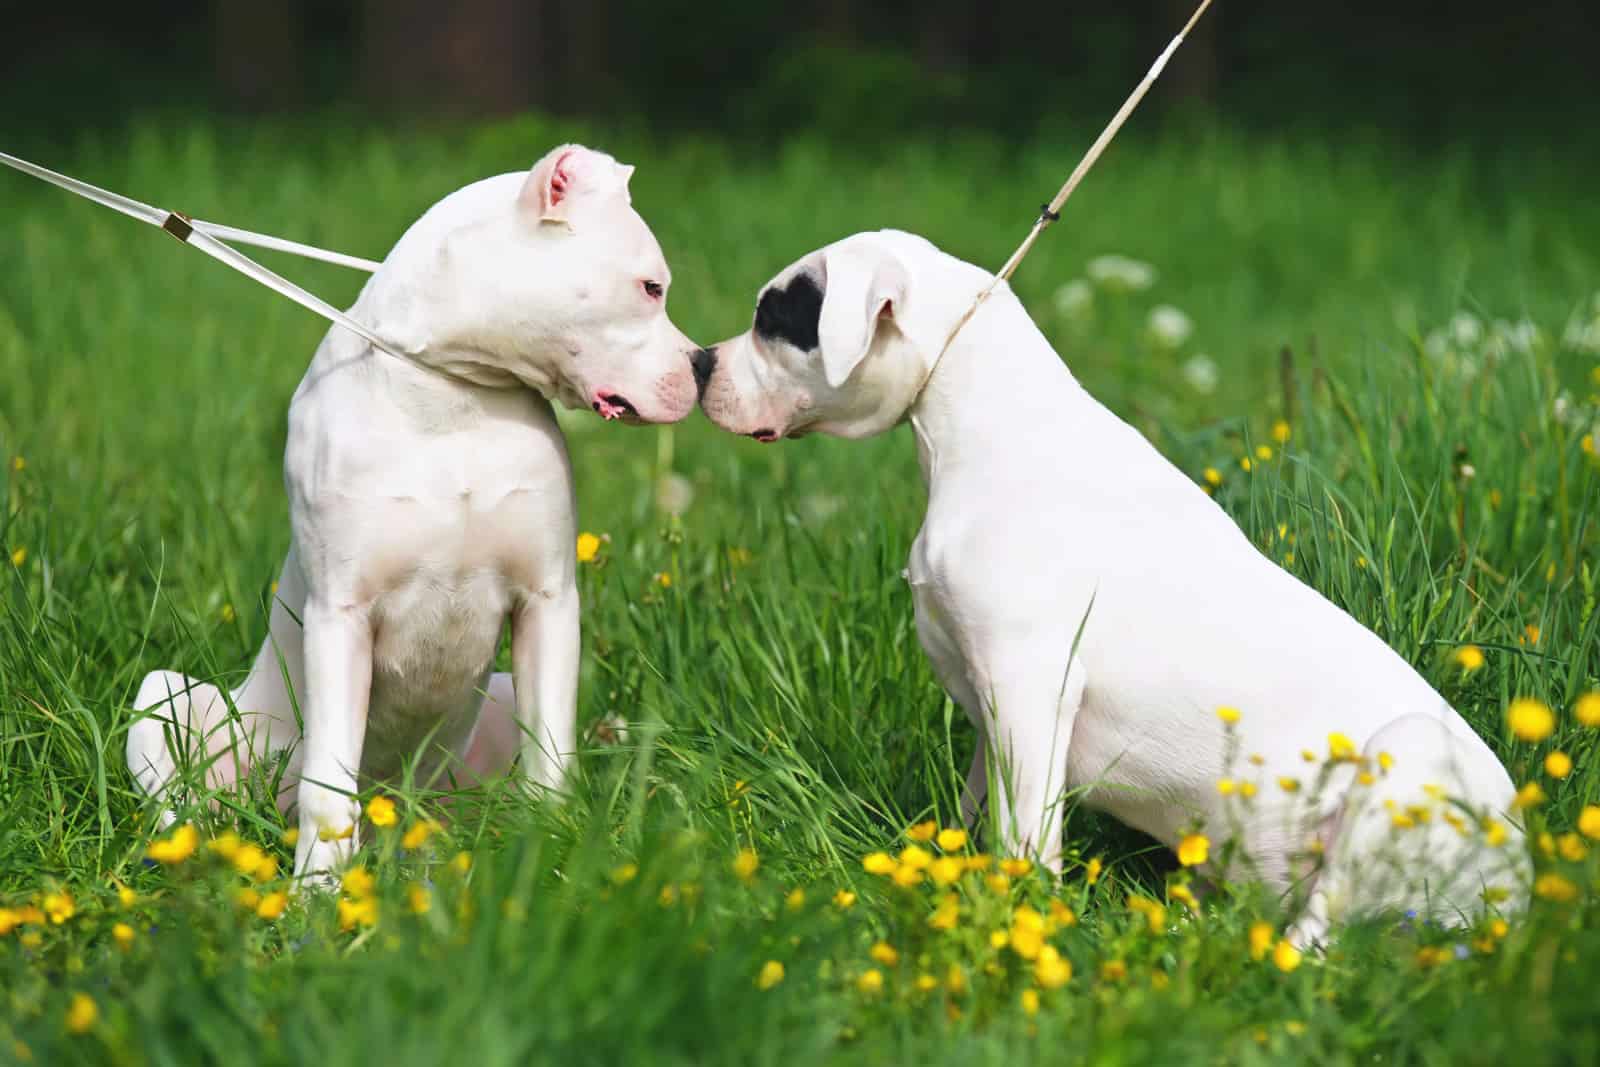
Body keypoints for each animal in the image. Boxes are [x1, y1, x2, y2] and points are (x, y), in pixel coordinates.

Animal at [124, 143, 700, 876]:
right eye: (652, 288)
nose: (704, 366)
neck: (453, 395)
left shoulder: (547, 603)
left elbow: (552, 757)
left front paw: (551, 856)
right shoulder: (340, 617)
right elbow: (329, 785)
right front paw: (316, 893)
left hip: (492, 703)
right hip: (164, 700)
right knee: (189, 801)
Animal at [697, 231, 1523, 940]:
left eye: (773, 320)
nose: (702, 363)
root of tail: (1521, 883)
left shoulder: (1031, 689)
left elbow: (1025, 836)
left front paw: (1019, 917)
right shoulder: (992, 700)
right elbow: (979, 808)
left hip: (1404, 761)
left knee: (1320, 934)